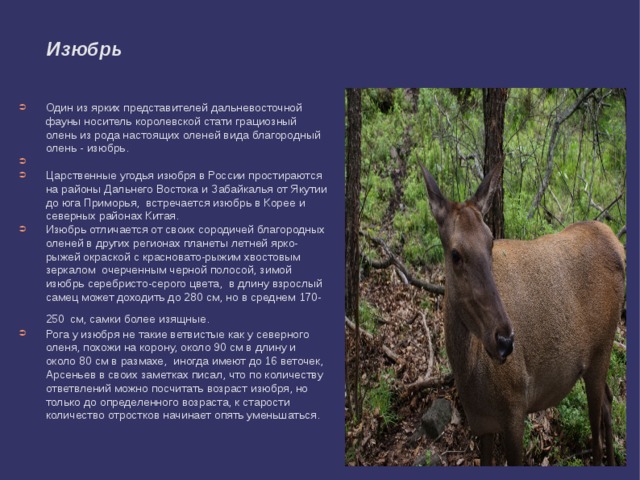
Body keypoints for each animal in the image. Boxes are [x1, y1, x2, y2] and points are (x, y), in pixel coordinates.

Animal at [419, 159, 625, 466]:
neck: (470, 376)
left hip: (602, 348)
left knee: (597, 426)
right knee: (609, 403)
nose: (505, 340)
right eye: (455, 254)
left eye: (491, 242)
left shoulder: (515, 408)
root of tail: (618, 245)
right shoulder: (481, 424)